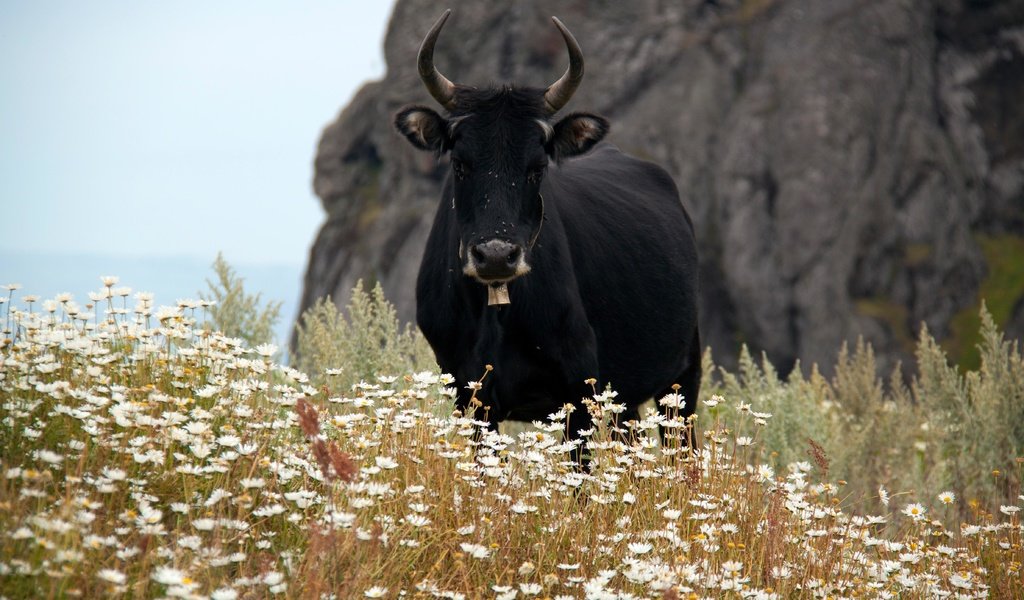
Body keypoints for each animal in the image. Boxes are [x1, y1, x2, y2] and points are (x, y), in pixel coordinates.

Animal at [393, 9, 704, 450]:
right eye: (459, 163)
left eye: (537, 168)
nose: (495, 255)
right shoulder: (470, 395)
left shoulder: (579, 390)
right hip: (625, 396)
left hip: (682, 377)